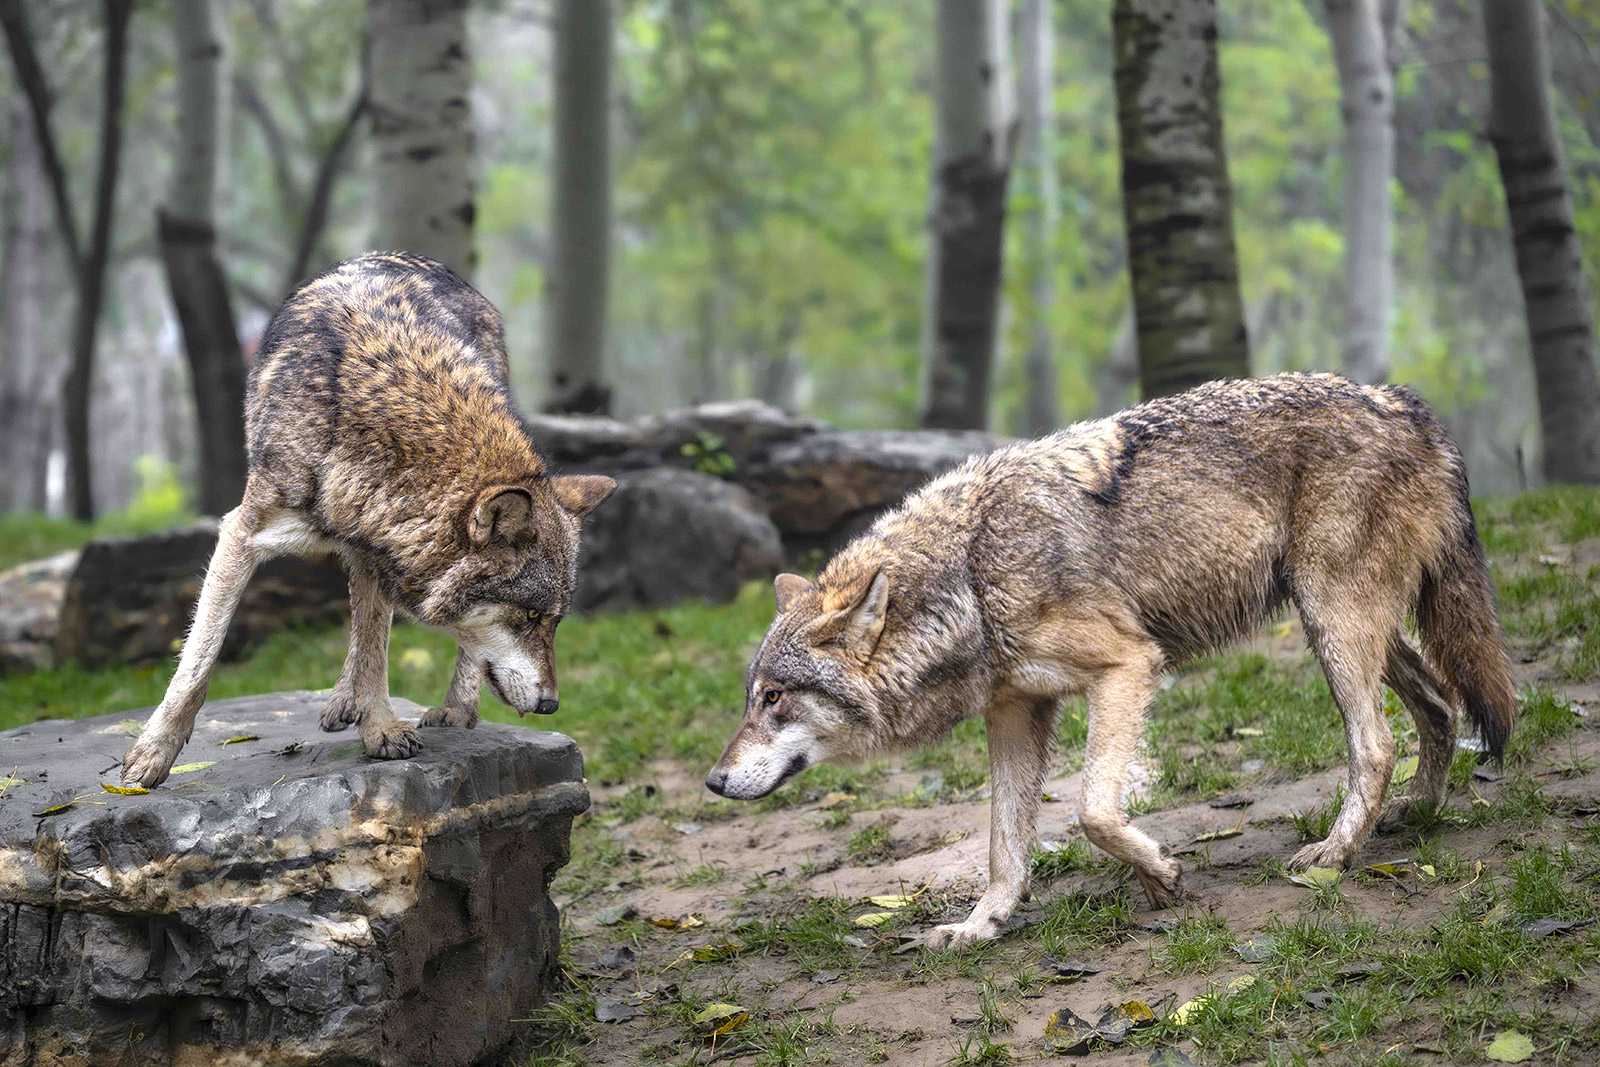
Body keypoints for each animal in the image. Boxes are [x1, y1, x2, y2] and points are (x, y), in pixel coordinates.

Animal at [121, 252, 615, 788]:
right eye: (530, 618)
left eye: (554, 621)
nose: (551, 705)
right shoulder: (246, 531)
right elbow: (198, 663)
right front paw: (153, 753)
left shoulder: (376, 548)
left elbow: (375, 649)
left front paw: (379, 728)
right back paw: (346, 700)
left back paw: (449, 710)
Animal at [706, 372, 1515, 948]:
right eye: (752, 696)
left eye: (774, 698)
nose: (712, 782)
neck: (971, 576)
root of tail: (1406, 402)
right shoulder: (1014, 713)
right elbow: (1004, 845)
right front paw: (980, 926)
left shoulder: (1127, 668)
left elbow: (1094, 810)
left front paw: (1160, 875)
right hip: (1348, 629)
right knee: (1439, 707)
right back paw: (1416, 813)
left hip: (1335, 627)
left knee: (1376, 744)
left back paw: (1334, 855)